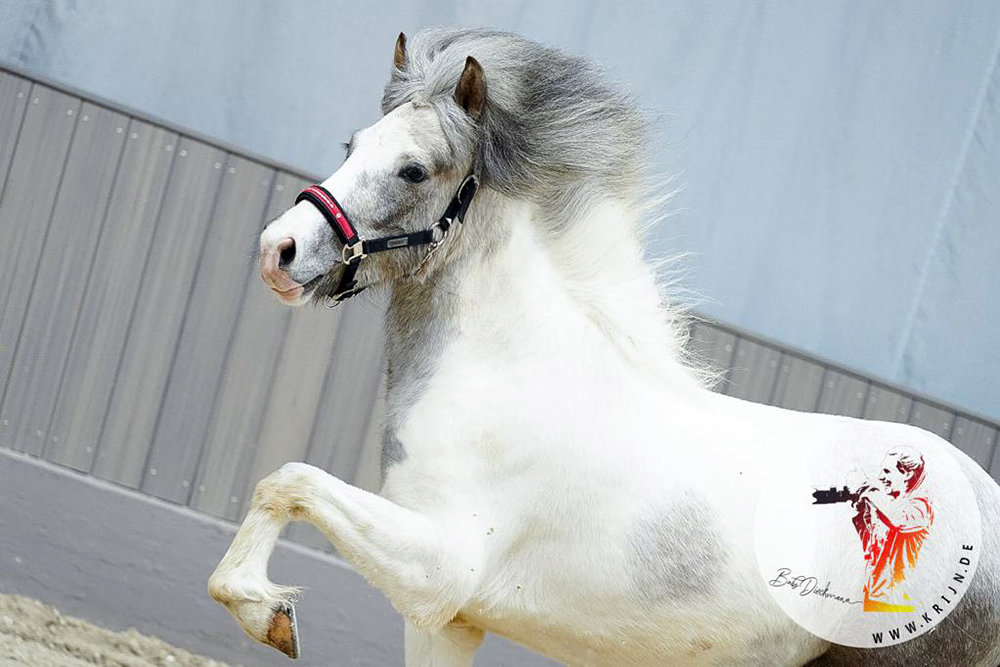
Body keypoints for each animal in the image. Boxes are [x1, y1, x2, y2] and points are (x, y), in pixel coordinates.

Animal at [207, 27, 996, 667]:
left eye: (413, 170)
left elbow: (288, 480)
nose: (279, 250)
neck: (508, 369)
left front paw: (266, 611)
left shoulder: (439, 568)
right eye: (353, 146)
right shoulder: (447, 620)